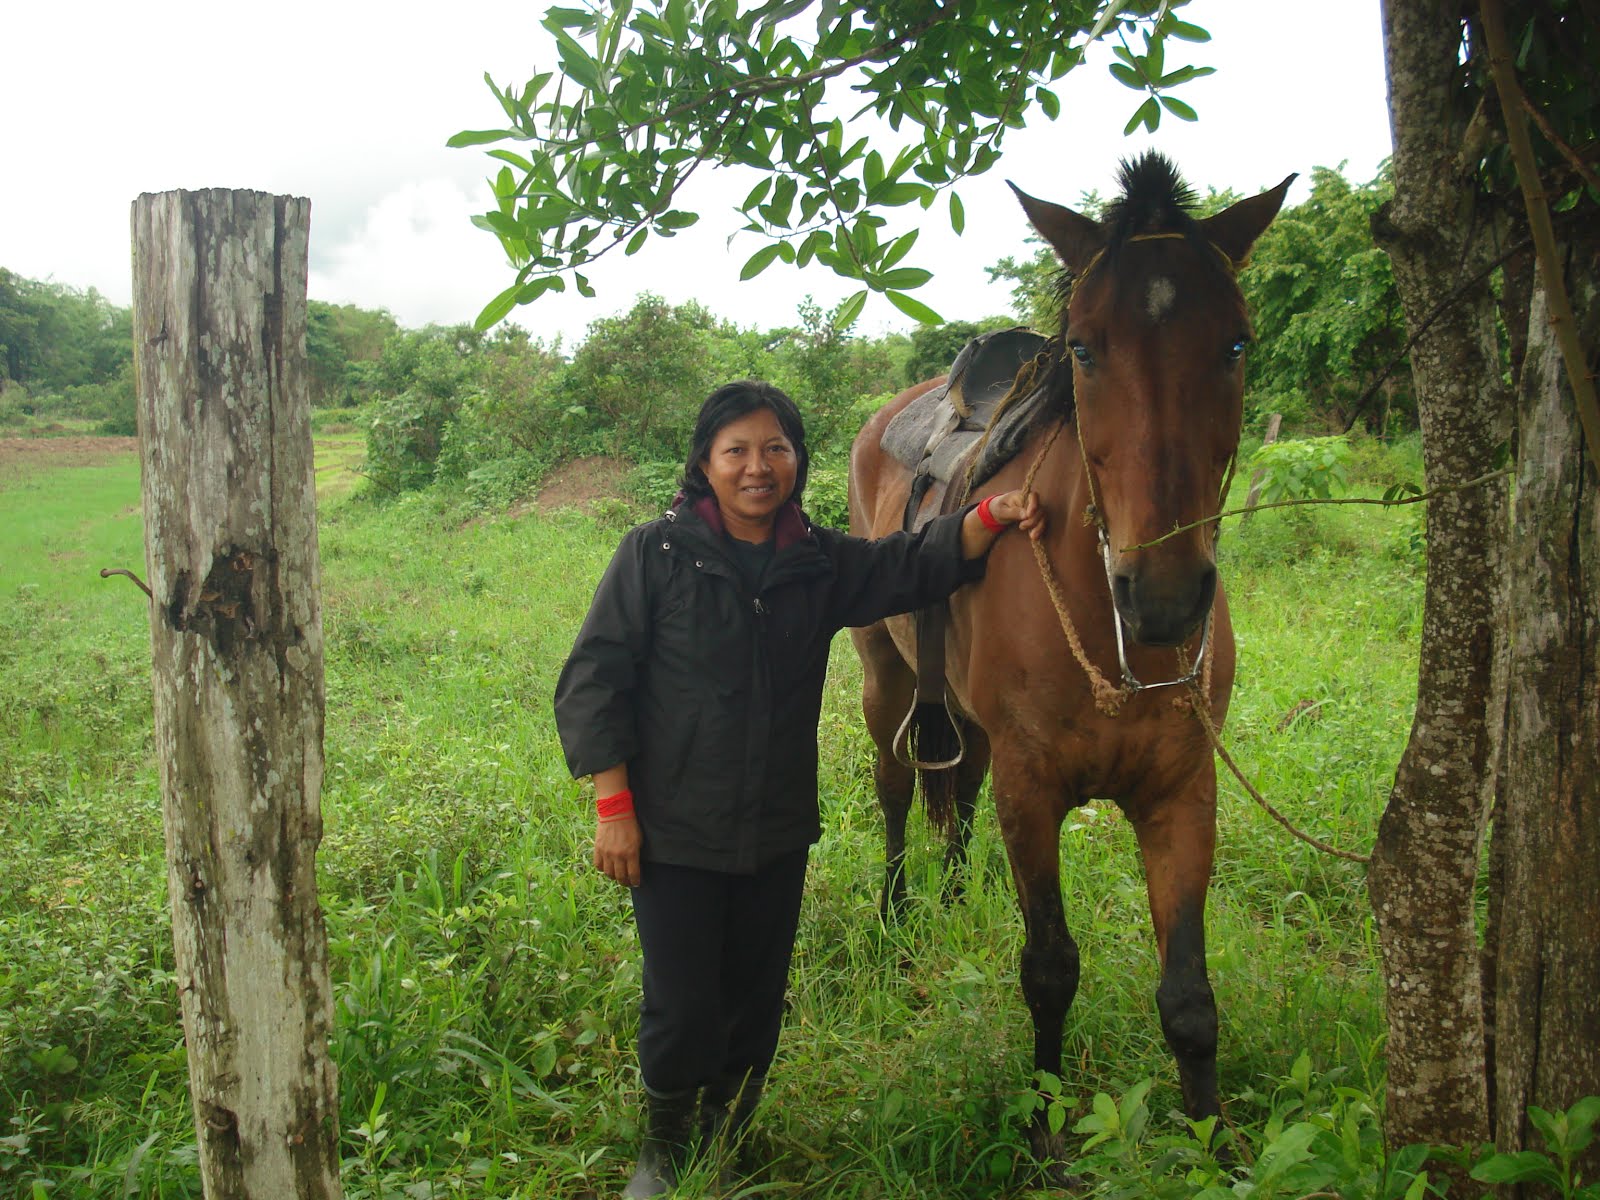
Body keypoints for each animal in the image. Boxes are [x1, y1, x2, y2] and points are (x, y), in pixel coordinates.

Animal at [851, 155, 1286, 1171]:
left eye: (1236, 344)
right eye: (1084, 350)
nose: (1163, 595)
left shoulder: (1183, 791)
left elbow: (1189, 999)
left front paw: (1212, 1150)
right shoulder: (1034, 786)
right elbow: (1049, 968)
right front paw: (1047, 1128)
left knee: (955, 794)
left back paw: (958, 899)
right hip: (886, 679)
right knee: (896, 791)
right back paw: (898, 915)